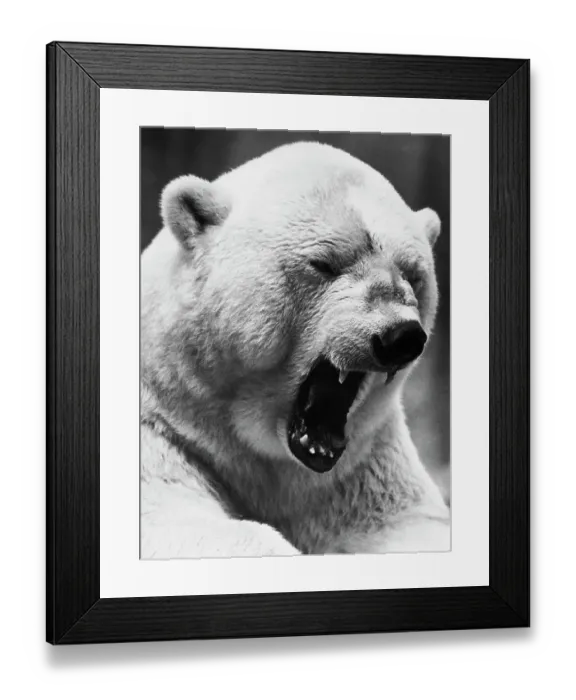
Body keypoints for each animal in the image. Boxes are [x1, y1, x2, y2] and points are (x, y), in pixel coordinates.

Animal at [140, 141, 450, 559]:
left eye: (414, 274)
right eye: (323, 263)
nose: (400, 336)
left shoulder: (362, 467)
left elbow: (409, 523)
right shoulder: (164, 431)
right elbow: (169, 516)